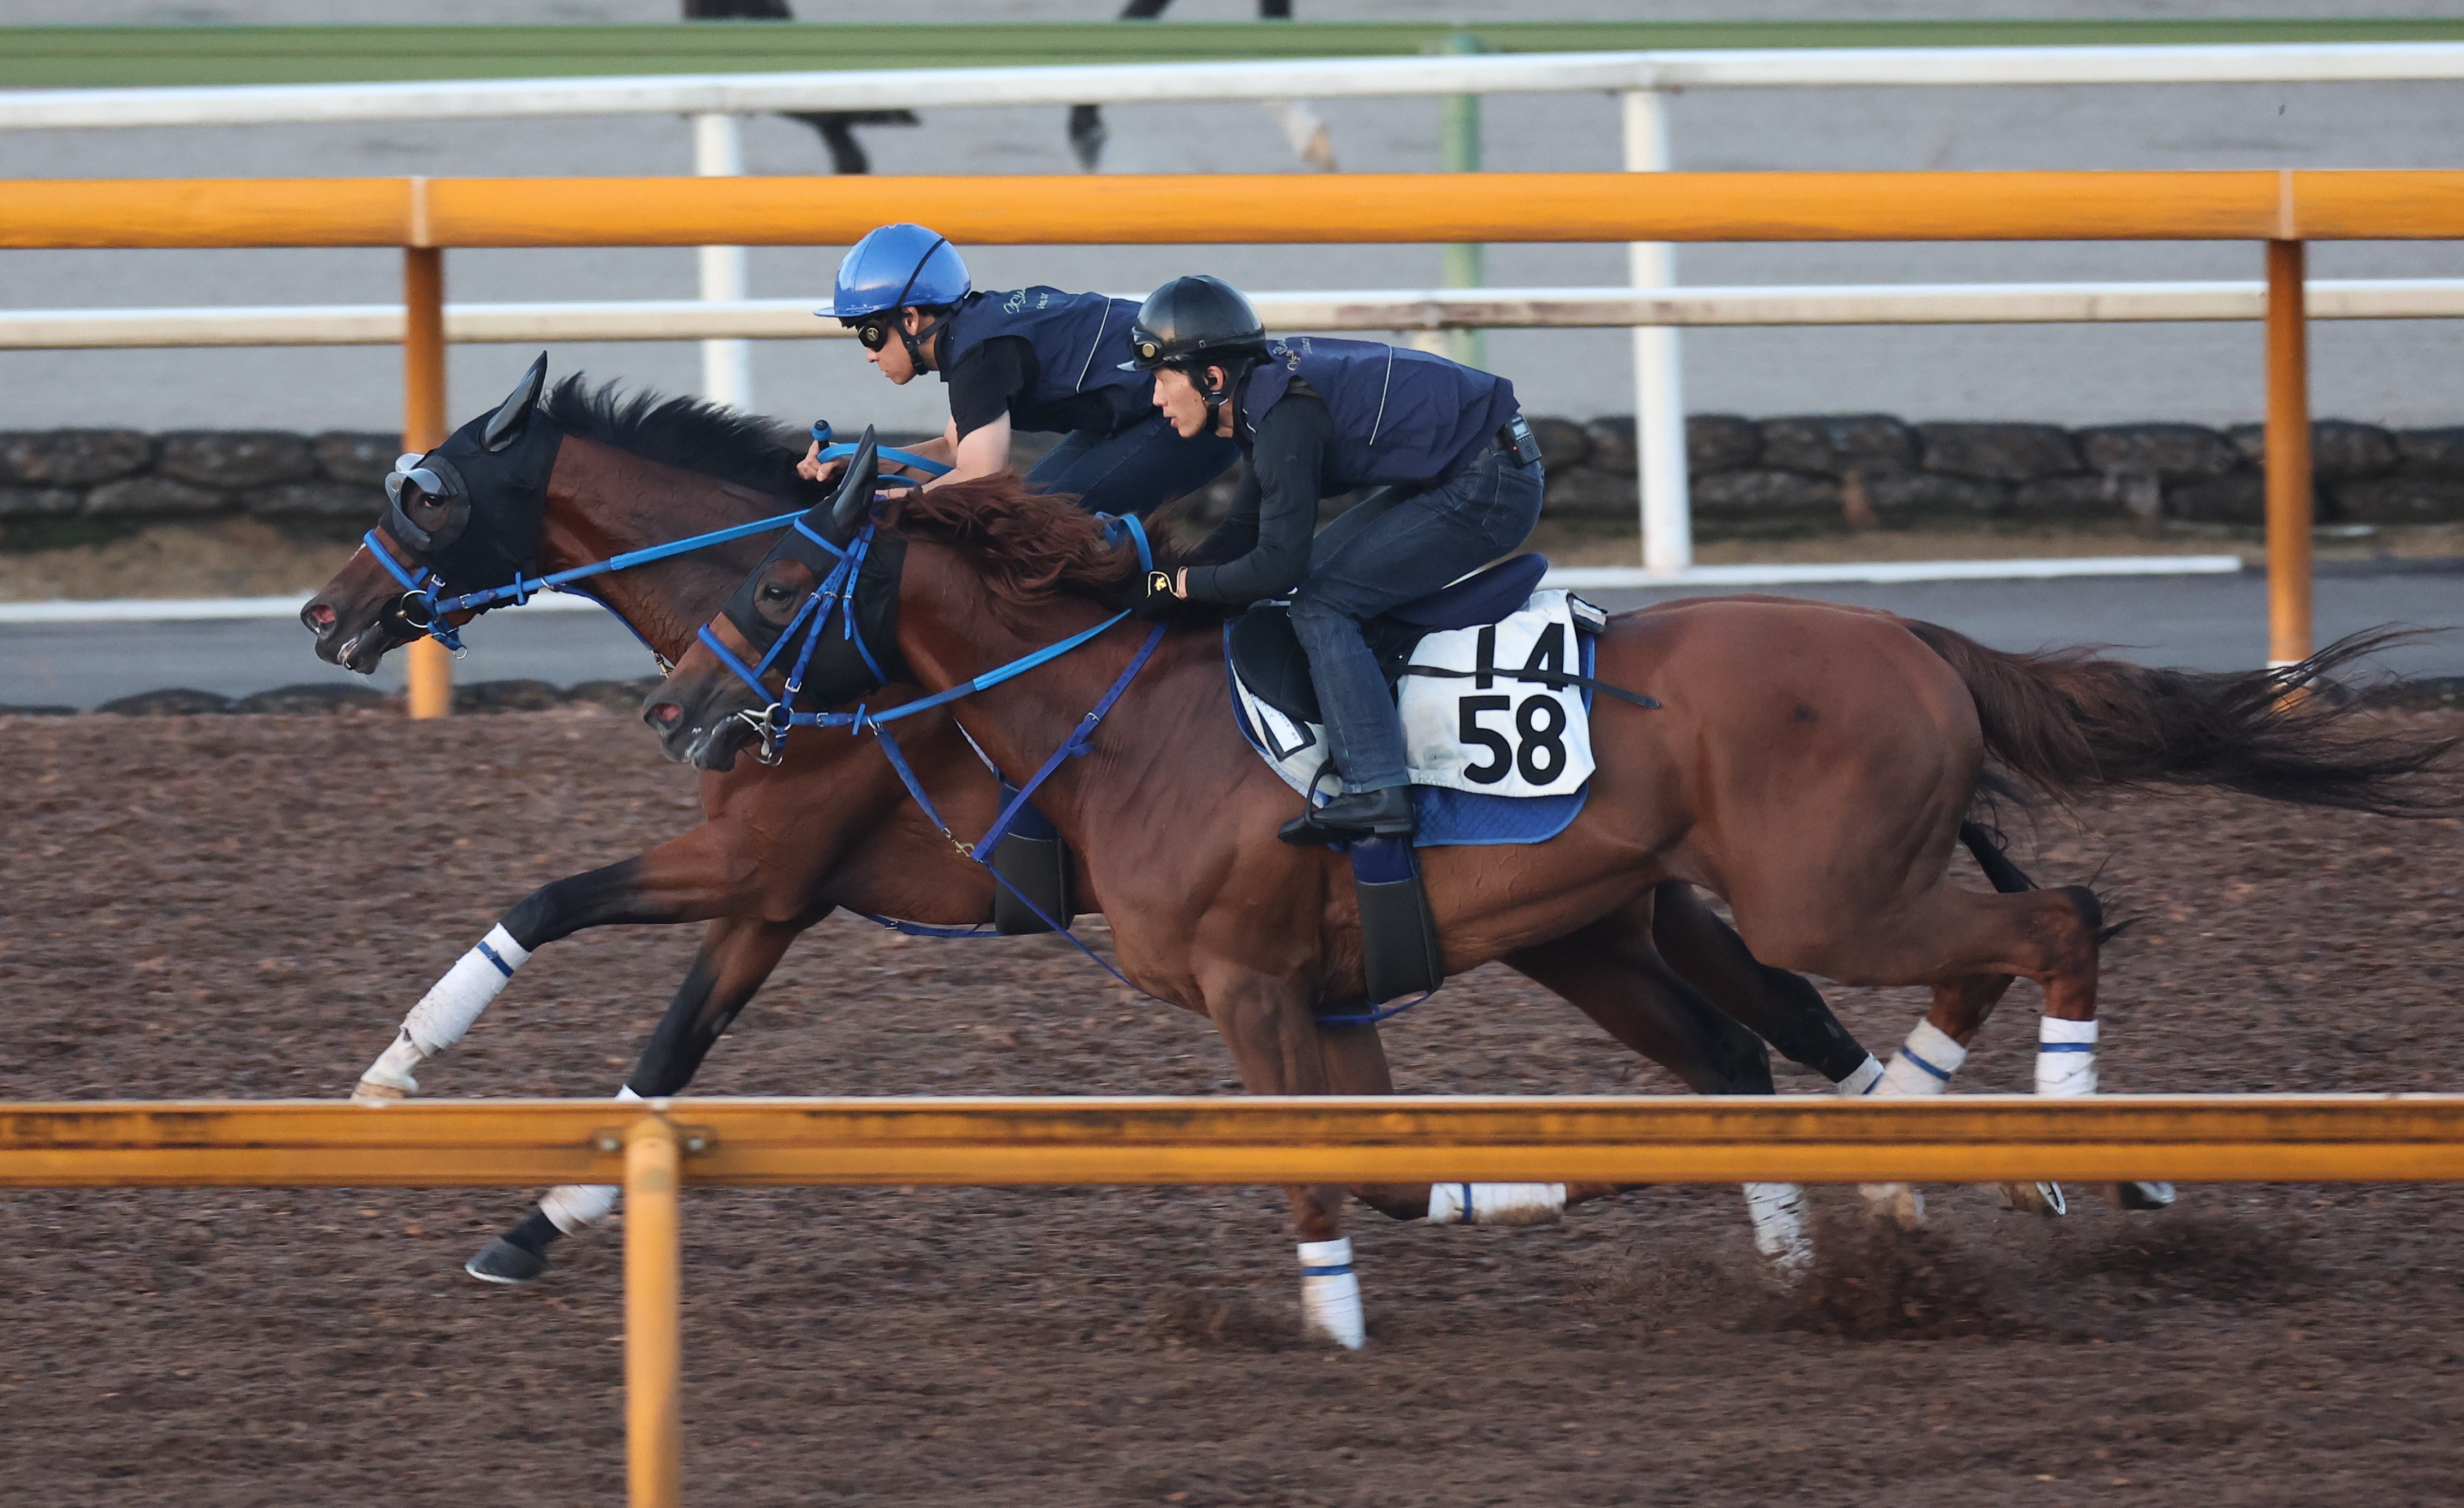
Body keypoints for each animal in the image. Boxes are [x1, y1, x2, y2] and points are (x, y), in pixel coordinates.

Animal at [303, 367, 1882, 1291]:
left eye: (426, 493)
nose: (326, 613)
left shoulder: (758, 862)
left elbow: (554, 907)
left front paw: (393, 1081)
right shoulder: (771, 895)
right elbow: (662, 1049)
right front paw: (525, 1211)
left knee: (1767, 1032)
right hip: (1602, 914)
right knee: (1774, 1028)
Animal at [645, 455, 2454, 1340]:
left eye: (772, 579)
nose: (679, 709)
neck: (1119, 721)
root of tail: (1912, 634)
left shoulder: (1251, 986)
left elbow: (1320, 1173)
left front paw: (1334, 1325)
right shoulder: (1329, 990)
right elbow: (1384, 1173)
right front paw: (1520, 1200)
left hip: (1818, 897)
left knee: (2055, 916)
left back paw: (2053, 1136)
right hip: (1669, 916)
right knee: (1868, 1007)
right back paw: (1923, 1155)